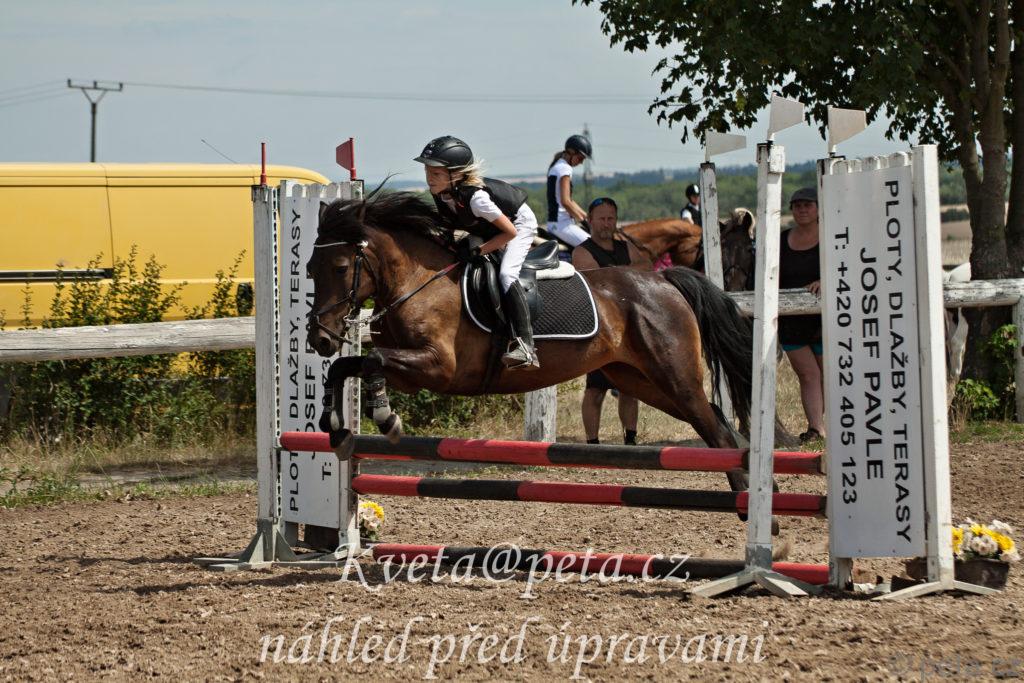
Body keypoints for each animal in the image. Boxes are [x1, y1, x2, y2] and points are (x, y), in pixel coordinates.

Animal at [305, 192, 756, 497]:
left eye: (341, 267)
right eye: (309, 268)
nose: (320, 338)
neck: (418, 281)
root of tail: (662, 279)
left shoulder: (439, 367)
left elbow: (373, 360)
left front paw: (384, 417)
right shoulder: (412, 375)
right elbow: (349, 366)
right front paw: (335, 427)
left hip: (673, 376)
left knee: (716, 430)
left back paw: (746, 502)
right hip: (640, 380)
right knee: (715, 419)